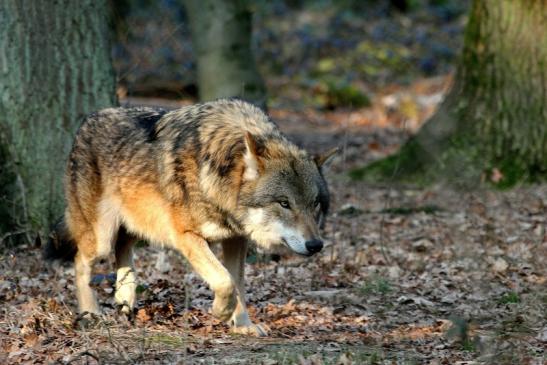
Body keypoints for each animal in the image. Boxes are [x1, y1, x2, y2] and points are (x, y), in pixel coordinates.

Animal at [47, 99, 336, 336]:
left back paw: (125, 298)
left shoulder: (236, 239)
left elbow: (238, 283)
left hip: (135, 226)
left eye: (314, 204)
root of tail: (87, 120)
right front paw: (220, 312)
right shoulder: (187, 236)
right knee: (80, 261)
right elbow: (225, 281)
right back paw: (90, 313)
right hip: (101, 238)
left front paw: (243, 325)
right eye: (284, 203)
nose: (316, 245)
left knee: (122, 249)